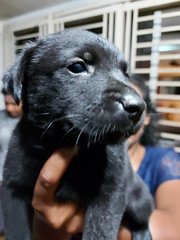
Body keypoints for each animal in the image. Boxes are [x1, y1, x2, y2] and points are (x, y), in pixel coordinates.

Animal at [1, 29, 153, 239]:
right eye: (77, 66)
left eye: (126, 73)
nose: (138, 107)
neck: (63, 141)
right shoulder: (13, 190)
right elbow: (18, 232)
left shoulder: (110, 192)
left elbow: (99, 231)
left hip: (138, 200)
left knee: (143, 219)